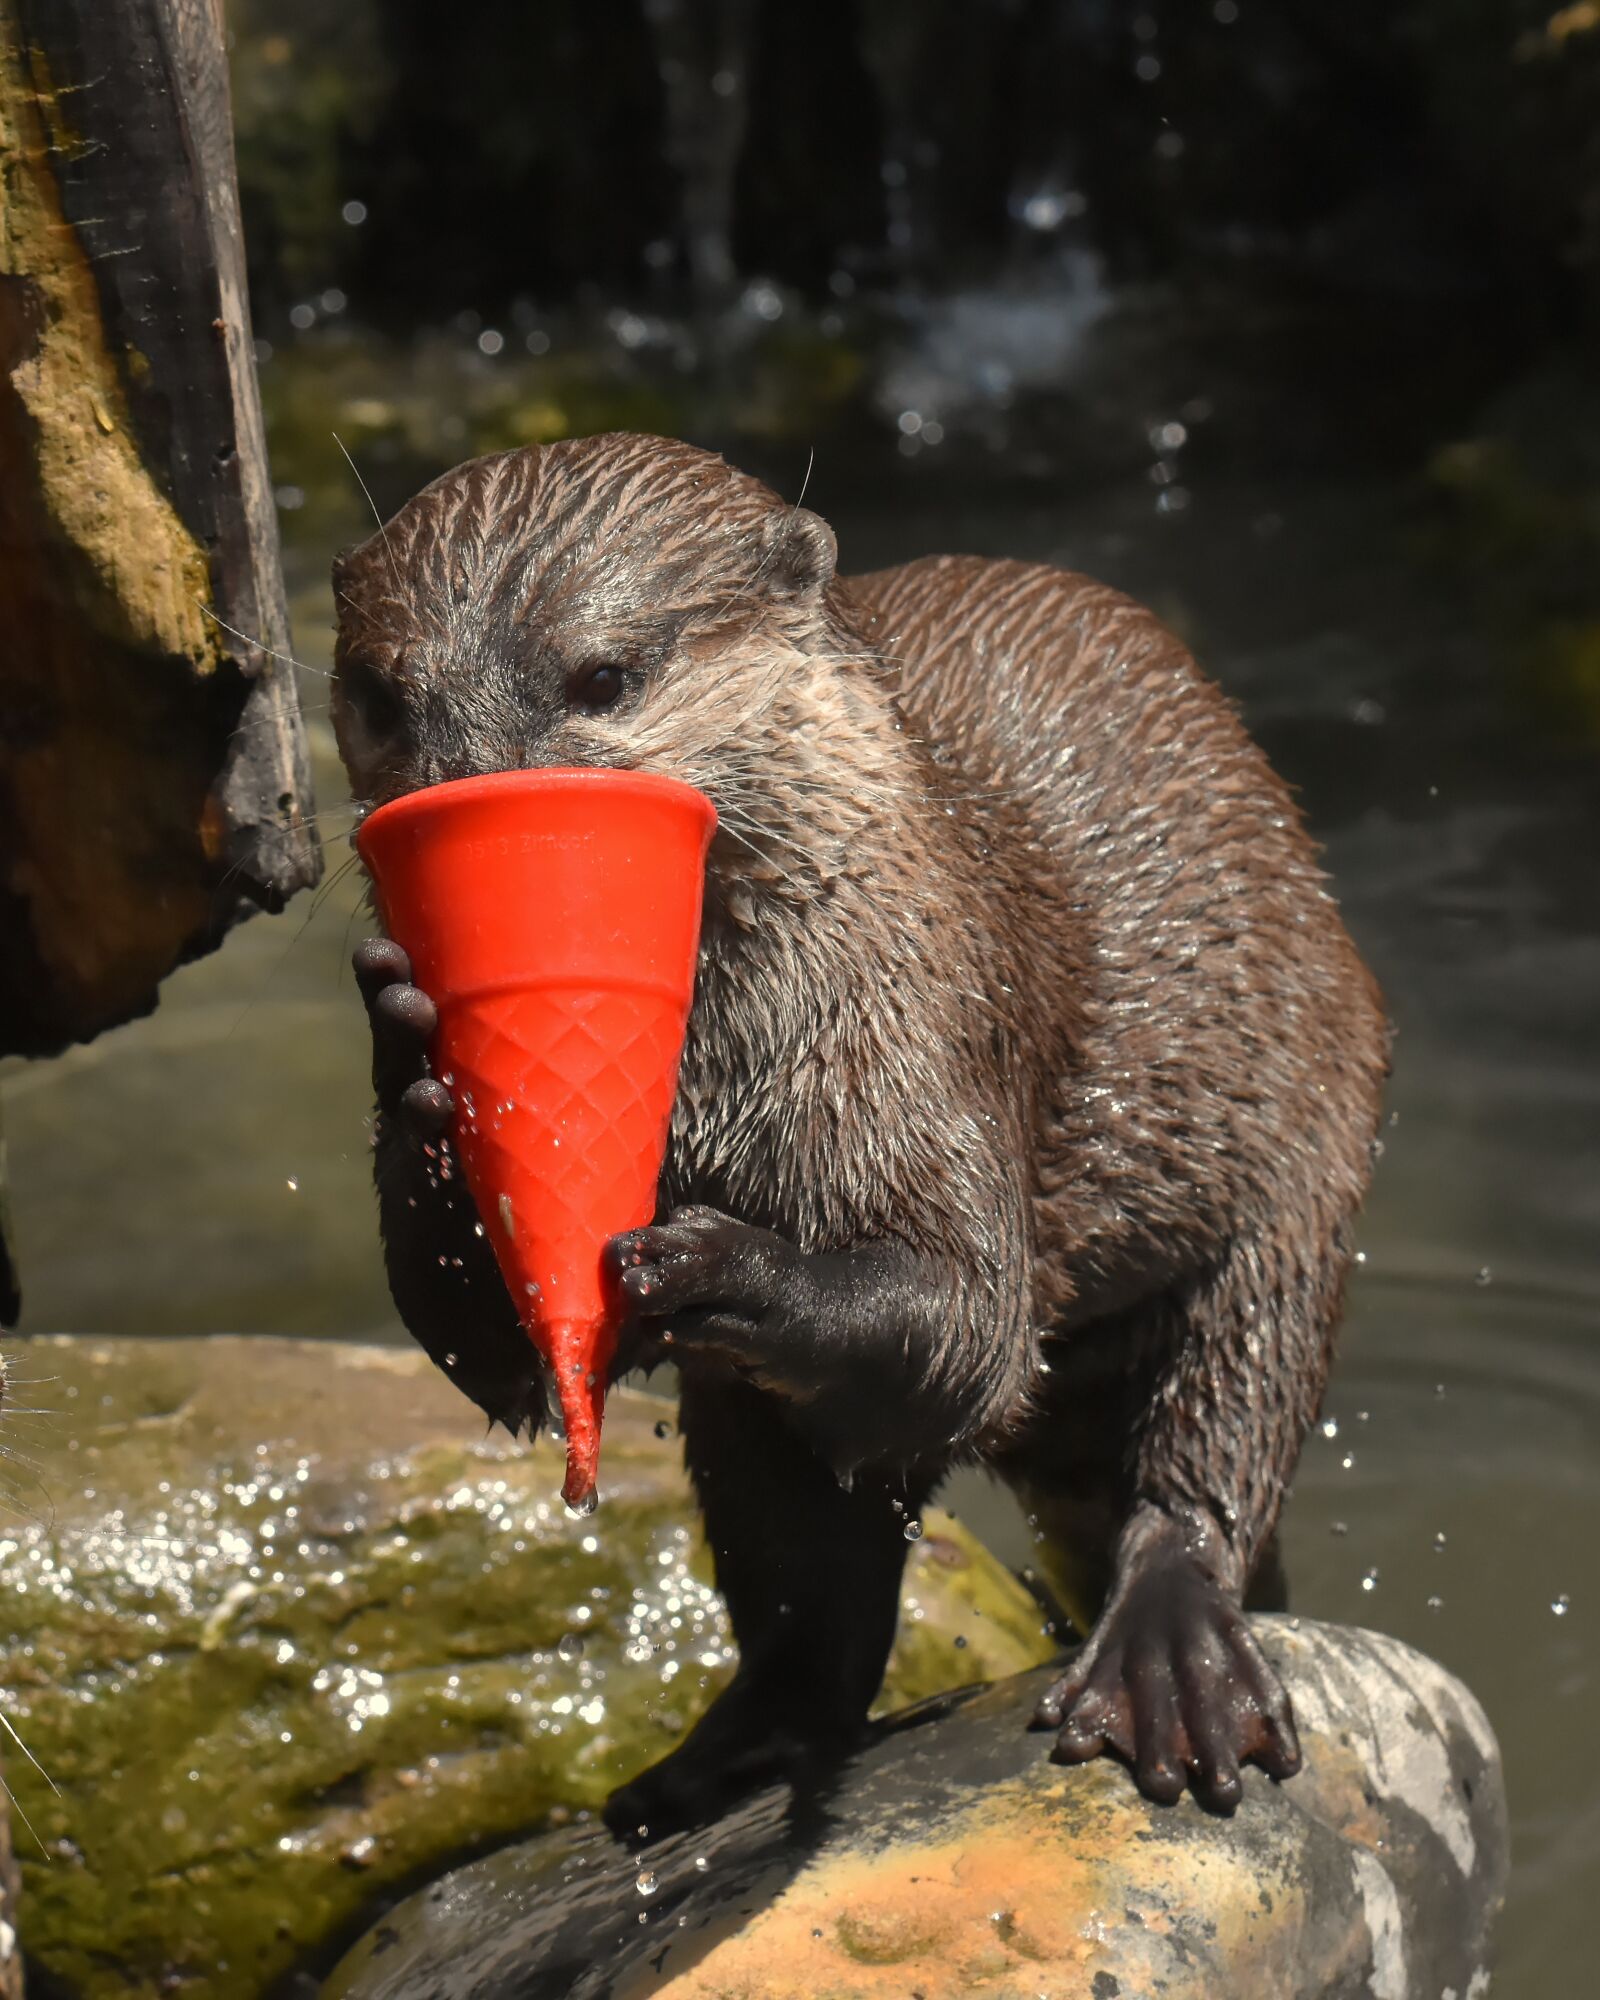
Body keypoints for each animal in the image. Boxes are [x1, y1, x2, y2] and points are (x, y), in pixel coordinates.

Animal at [333, 433, 1388, 1827]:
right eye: (379, 694)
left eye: (603, 675)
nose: (461, 792)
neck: (727, 1073)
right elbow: (503, 1361)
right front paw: (411, 1048)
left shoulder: (931, 1048)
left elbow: (975, 1324)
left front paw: (721, 1260)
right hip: (760, 1444)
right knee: (809, 1586)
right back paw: (721, 1756)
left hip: (1302, 1159)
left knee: (1216, 1430)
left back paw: (1170, 1654)